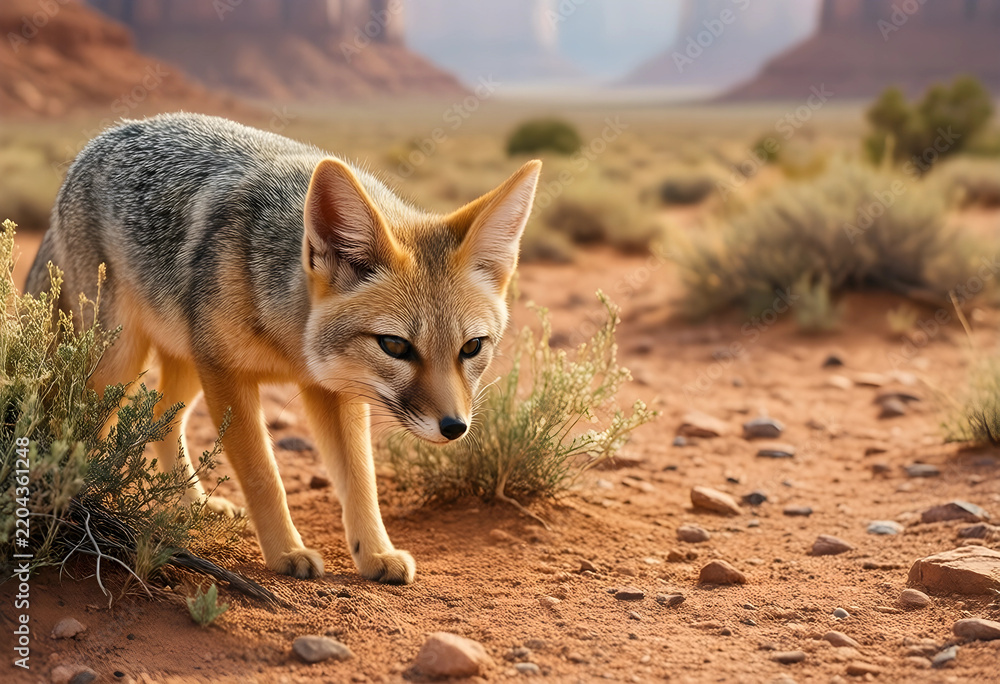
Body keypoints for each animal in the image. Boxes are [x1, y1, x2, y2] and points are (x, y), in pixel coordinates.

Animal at [25, 112, 541, 584]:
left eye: (472, 347)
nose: (455, 427)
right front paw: (285, 553)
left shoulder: (333, 390)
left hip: (186, 360)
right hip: (120, 362)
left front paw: (375, 553)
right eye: (395, 345)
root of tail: (105, 136)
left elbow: (361, 480)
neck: (291, 344)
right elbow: (264, 475)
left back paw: (192, 506)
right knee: (82, 424)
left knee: (159, 418)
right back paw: (76, 501)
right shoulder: (228, 375)